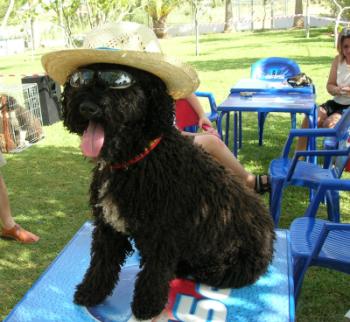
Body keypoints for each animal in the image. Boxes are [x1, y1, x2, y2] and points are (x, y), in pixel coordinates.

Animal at [63, 63, 276, 320]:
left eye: (120, 80)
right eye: (80, 80)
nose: (87, 107)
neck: (136, 161)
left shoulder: (162, 235)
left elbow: (153, 274)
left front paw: (147, 306)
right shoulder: (108, 227)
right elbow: (101, 264)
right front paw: (91, 292)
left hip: (229, 266)